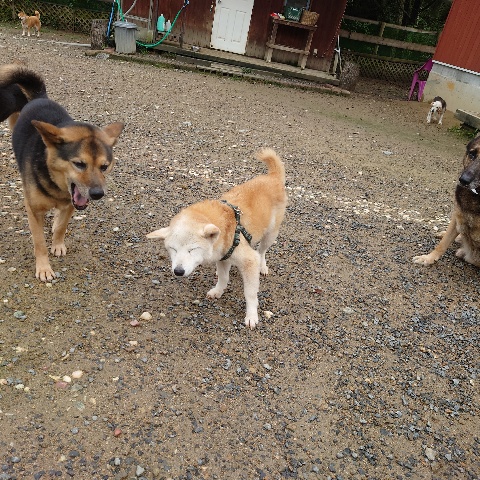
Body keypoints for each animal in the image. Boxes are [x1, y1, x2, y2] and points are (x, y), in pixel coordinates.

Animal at [0, 64, 124, 281]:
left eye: (104, 166)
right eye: (79, 164)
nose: (97, 194)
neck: (56, 186)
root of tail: (40, 97)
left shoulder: (72, 204)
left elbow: (61, 226)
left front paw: (57, 244)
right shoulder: (34, 210)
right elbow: (39, 242)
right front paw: (43, 268)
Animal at [147, 148, 287, 329]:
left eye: (192, 249)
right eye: (173, 249)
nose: (178, 271)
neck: (225, 229)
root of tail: (272, 176)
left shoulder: (249, 261)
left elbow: (250, 294)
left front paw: (251, 316)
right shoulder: (223, 257)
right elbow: (223, 278)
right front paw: (218, 291)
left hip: (270, 234)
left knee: (262, 251)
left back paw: (262, 266)